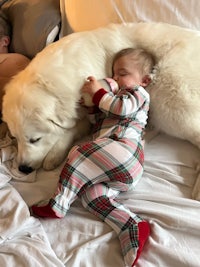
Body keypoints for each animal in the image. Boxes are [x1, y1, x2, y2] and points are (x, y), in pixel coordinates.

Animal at [2, 22, 200, 174]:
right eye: (15, 138)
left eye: (35, 139)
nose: (23, 169)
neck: (51, 83)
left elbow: (70, 130)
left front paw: (53, 156)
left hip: (167, 96)